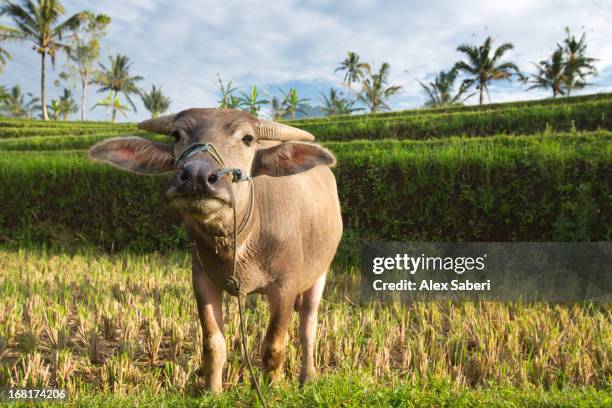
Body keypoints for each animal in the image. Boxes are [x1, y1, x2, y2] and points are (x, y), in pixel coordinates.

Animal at [88, 108, 342, 392]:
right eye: (177, 135)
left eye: (247, 139)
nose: (197, 176)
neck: (240, 241)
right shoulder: (202, 281)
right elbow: (213, 343)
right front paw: (213, 390)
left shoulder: (284, 285)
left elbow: (274, 345)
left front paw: (272, 388)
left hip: (320, 274)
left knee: (308, 324)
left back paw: (308, 375)